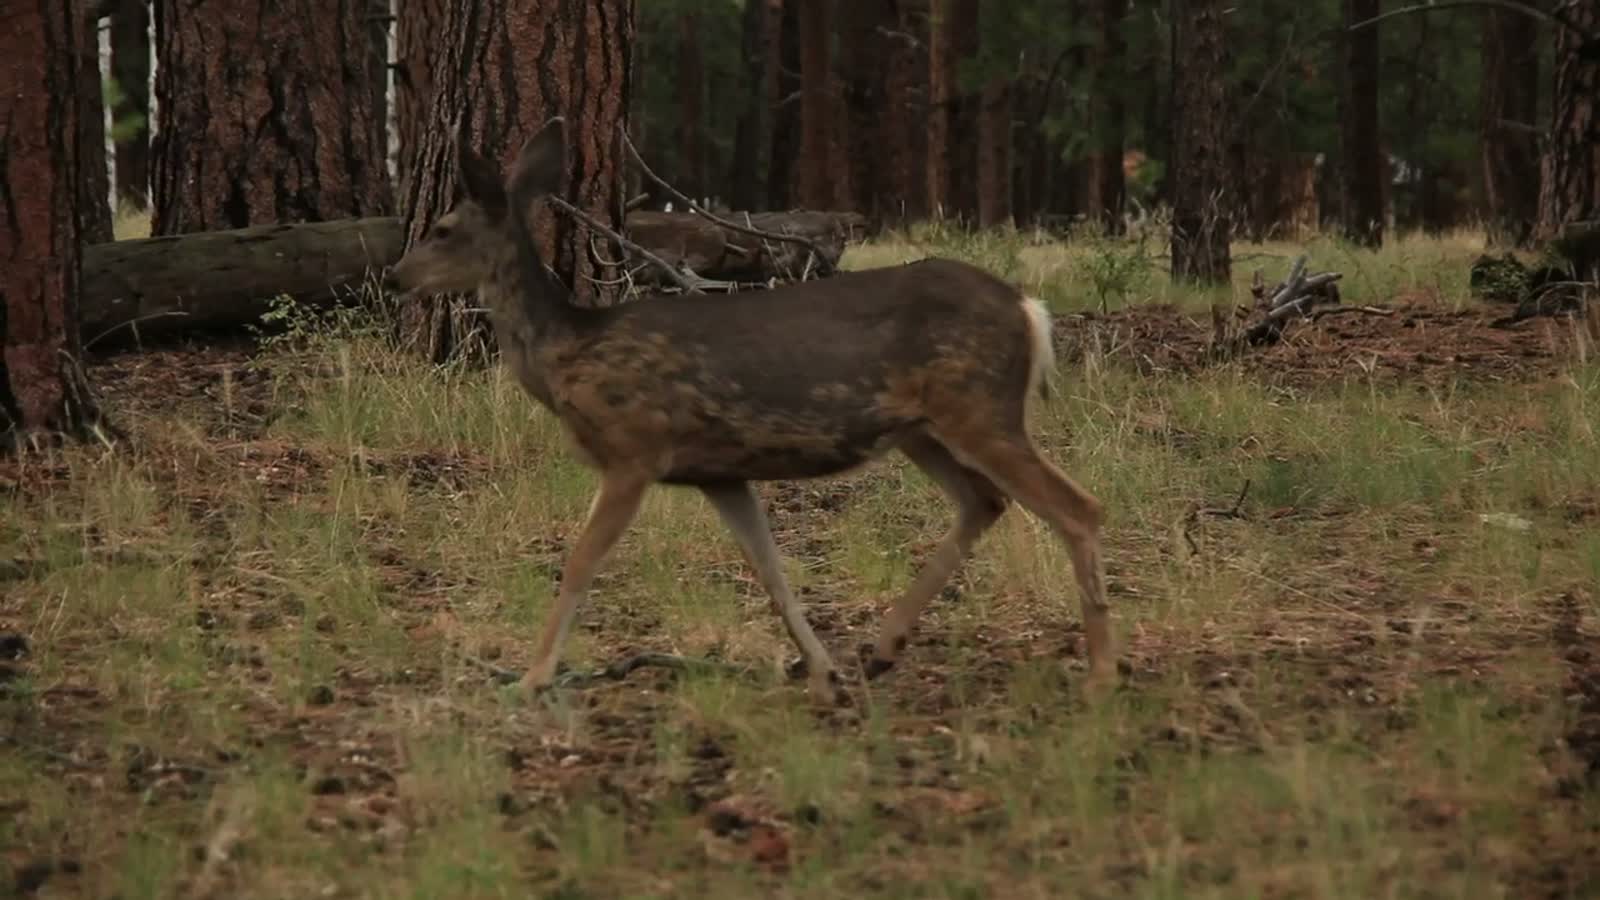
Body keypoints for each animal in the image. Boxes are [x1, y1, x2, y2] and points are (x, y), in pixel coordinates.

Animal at [386, 117, 1115, 706]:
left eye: (443, 229)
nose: (395, 275)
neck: (569, 353)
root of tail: (1031, 310)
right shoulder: (720, 473)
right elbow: (772, 573)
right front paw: (823, 675)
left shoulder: (635, 448)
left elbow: (580, 565)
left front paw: (533, 678)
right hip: (924, 427)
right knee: (984, 501)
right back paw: (882, 649)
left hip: (979, 406)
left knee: (1078, 508)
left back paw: (1100, 676)